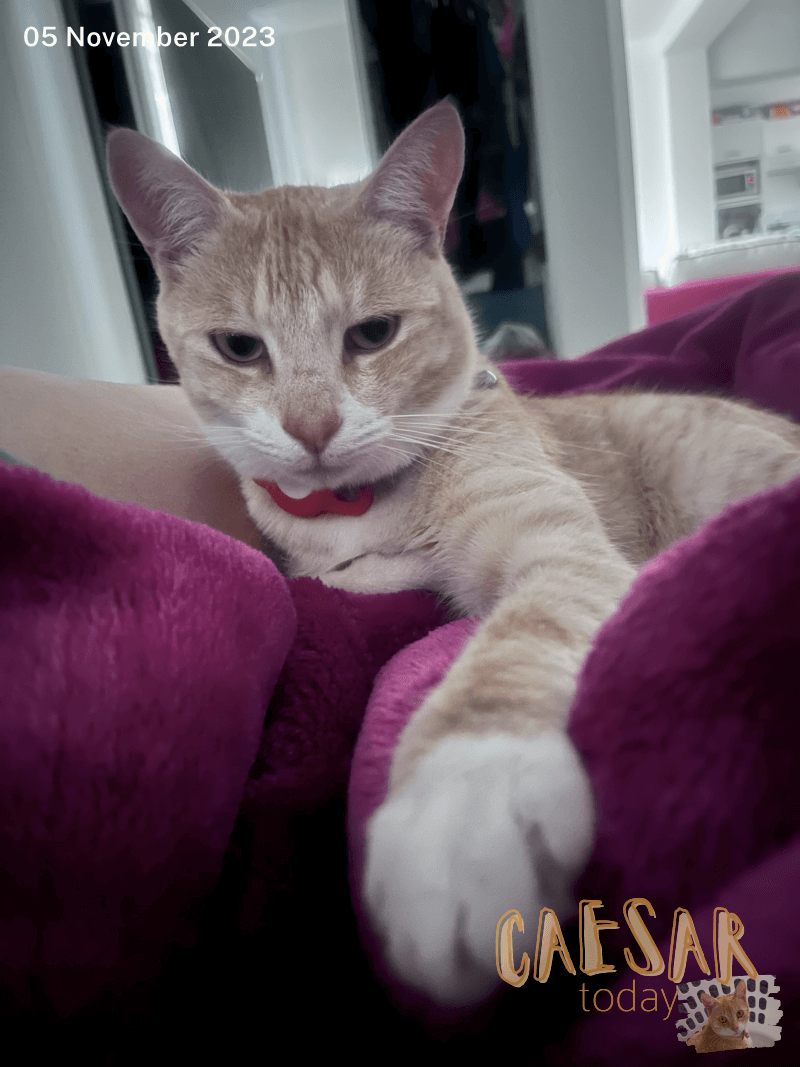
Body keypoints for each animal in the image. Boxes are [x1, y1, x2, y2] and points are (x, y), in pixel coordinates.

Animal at [106, 100, 800, 1009]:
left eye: (372, 334)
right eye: (240, 347)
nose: (312, 427)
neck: (359, 509)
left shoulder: (554, 541)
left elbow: (512, 644)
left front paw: (465, 799)